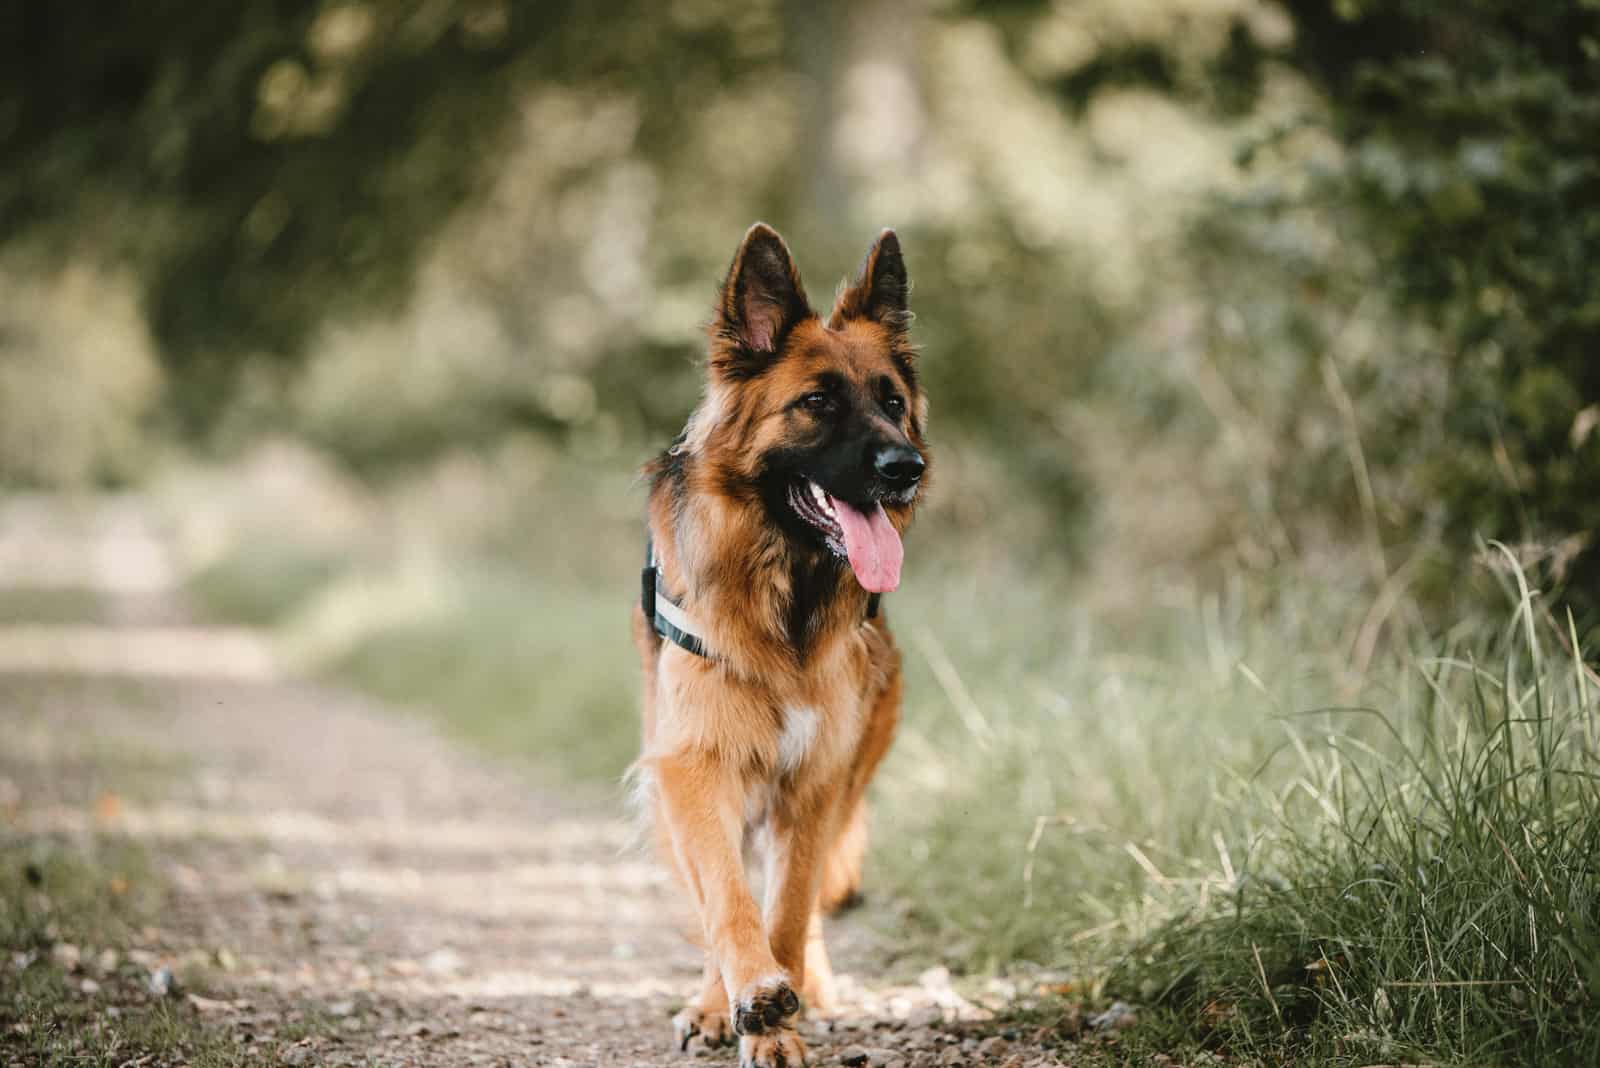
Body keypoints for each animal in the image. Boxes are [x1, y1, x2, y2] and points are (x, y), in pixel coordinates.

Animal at [627, 220, 928, 1061]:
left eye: (893, 403)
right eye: (816, 402)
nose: (908, 468)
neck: (784, 595)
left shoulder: (814, 782)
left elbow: (788, 912)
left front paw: (783, 1018)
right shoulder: (694, 765)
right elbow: (727, 902)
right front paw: (751, 1002)